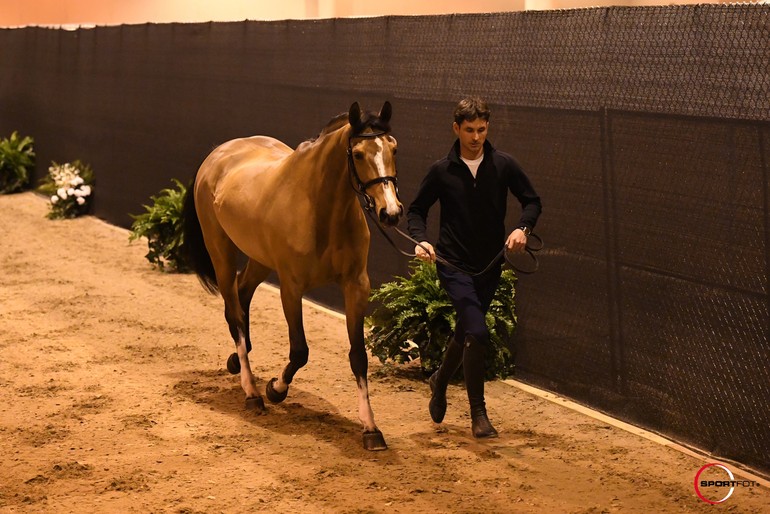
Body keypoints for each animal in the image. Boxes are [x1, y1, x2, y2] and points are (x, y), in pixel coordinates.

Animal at [181, 101, 402, 448]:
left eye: (393, 148)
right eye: (358, 154)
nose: (390, 213)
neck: (320, 209)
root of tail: (219, 153)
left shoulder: (357, 287)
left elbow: (358, 356)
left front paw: (371, 429)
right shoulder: (291, 287)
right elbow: (299, 351)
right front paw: (275, 389)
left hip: (260, 259)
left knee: (242, 295)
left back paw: (237, 362)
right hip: (221, 252)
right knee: (234, 313)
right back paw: (251, 393)